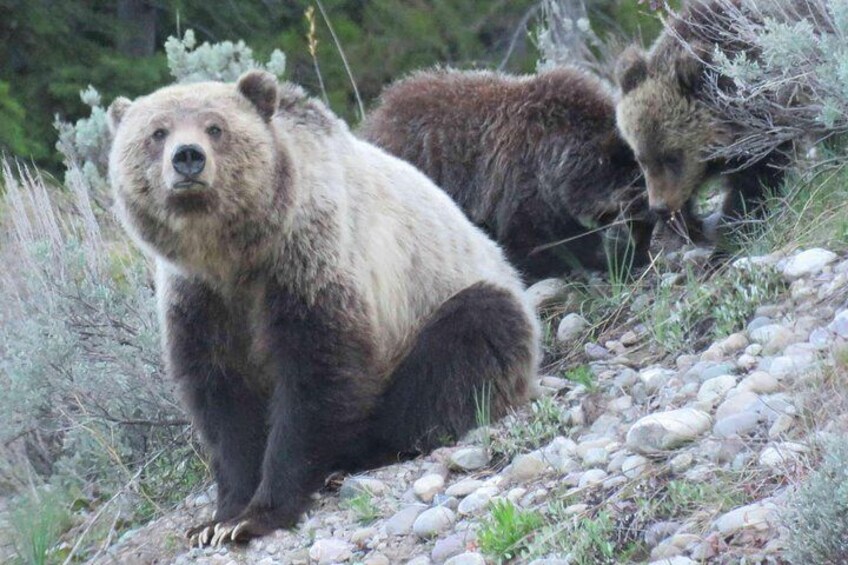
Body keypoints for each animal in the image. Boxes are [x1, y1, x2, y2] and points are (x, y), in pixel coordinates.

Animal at [106, 68, 536, 544]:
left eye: (215, 127)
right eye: (157, 132)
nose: (187, 158)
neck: (234, 255)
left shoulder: (309, 260)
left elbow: (316, 375)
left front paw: (259, 513)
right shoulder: (200, 301)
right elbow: (223, 400)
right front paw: (218, 520)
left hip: (443, 301)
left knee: (468, 342)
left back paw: (370, 451)